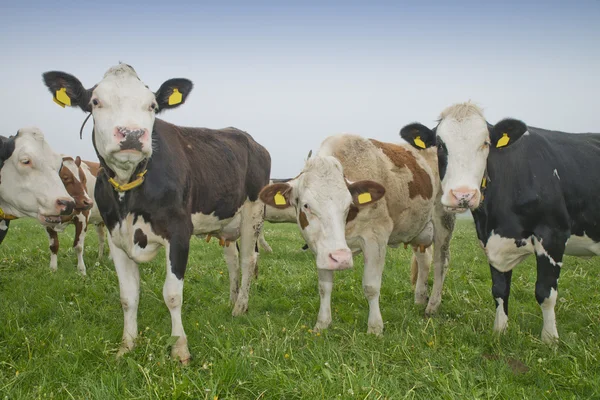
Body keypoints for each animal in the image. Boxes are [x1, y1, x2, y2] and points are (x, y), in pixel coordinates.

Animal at [45, 63, 272, 362]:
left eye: (152, 105)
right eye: (95, 102)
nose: (131, 133)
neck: (129, 192)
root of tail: (250, 139)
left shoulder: (179, 233)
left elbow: (173, 294)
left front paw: (180, 348)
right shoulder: (117, 237)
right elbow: (128, 296)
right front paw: (127, 345)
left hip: (253, 212)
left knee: (247, 261)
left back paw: (240, 307)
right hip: (225, 223)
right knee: (233, 261)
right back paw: (232, 300)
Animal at [260, 134, 452, 334]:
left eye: (348, 205)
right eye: (306, 205)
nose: (342, 258)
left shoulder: (376, 238)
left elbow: (371, 286)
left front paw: (375, 327)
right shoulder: (322, 249)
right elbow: (324, 286)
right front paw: (322, 323)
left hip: (444, 219)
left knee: (441, 262)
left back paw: (432, 306)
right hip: (418, 228)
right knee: (424, 260)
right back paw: (420, 298)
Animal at [400, 101, 600, 342]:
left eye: (485, 143)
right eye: (440, 145)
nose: (463, 195)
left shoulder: (553, 235)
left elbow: (545, 292)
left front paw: (549, 339)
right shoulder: (491, 239)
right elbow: (499, 289)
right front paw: (500, 330)